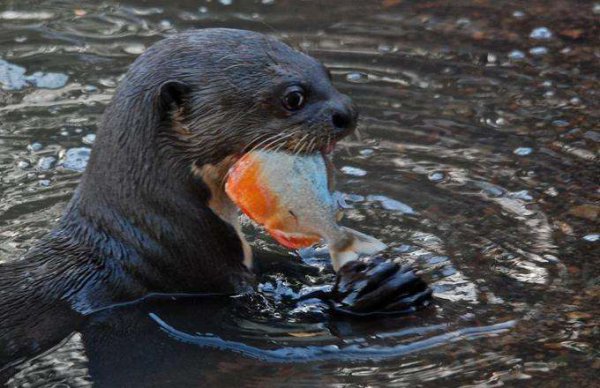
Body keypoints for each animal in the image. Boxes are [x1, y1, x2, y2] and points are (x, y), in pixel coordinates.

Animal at [0, 28, 432, 370]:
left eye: (326, 72)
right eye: (293, 97)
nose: (348, 112)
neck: (155, 235)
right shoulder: (196, 277)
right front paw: (377, 289)